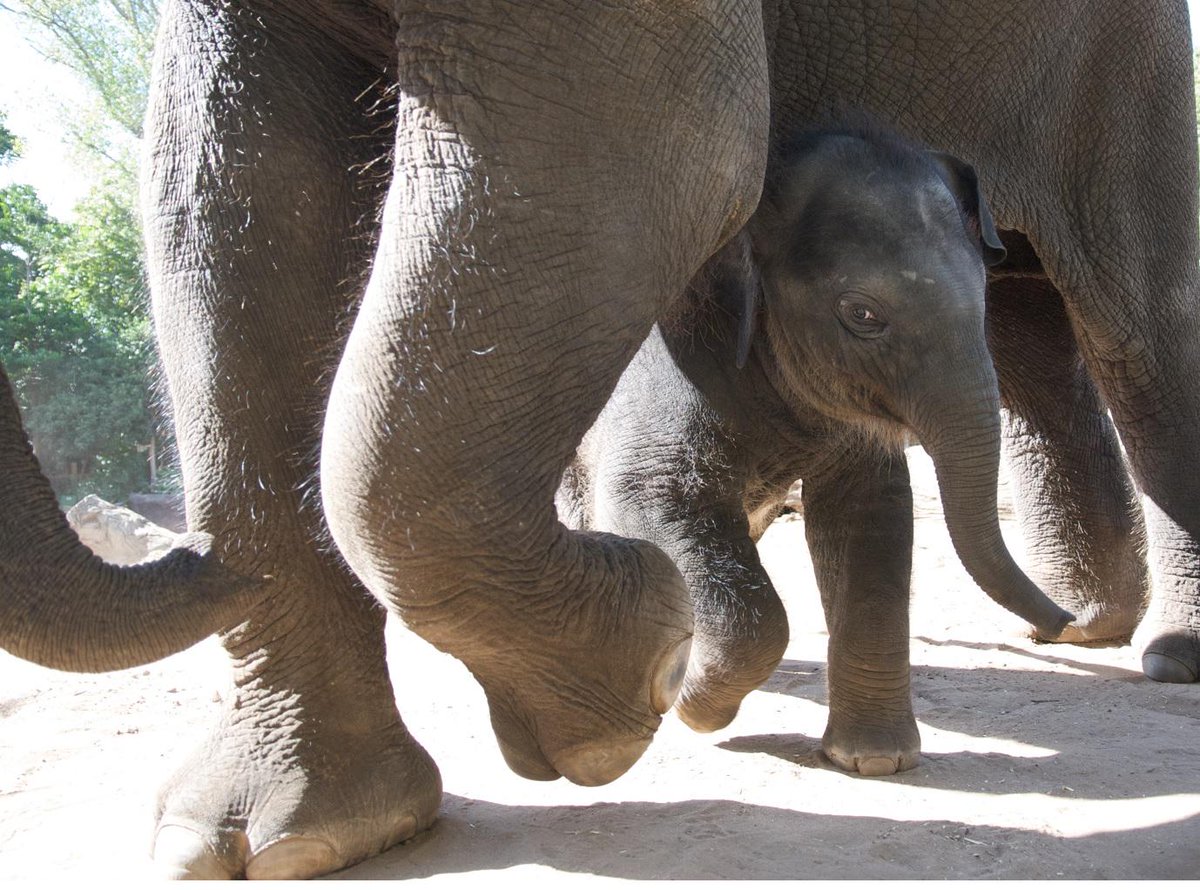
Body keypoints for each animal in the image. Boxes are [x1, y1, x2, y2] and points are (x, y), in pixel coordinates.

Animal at [557, 122, 1073, 773]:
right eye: (863, 314)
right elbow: (649, 498)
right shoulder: (656, 371)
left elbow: (872, 517)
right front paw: (688, 699)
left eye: (985, 296)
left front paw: (874, 761)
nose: (1066, 622)